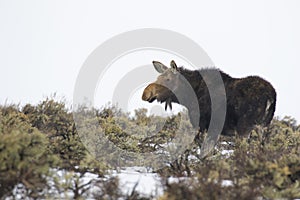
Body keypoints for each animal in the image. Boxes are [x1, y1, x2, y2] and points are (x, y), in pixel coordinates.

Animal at [142, 60, 276, 137]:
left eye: (168, 79)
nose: (146, 93)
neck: (187, 98)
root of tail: (270, 96)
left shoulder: (202, 125)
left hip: (245, 128)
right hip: (263, 127)